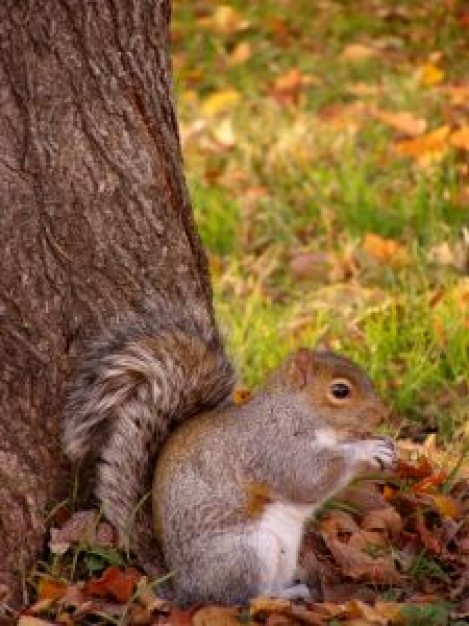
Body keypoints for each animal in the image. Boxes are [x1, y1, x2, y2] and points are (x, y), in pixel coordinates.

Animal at [64, 300, 396, 604]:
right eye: (340, 391)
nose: (383, 415)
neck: (294, 413)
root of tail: (186, 591)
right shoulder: (272, 449)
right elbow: (308, 480)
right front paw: (368, 449)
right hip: (247, 553)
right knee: (246, 598)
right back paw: (285, 595)